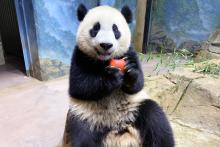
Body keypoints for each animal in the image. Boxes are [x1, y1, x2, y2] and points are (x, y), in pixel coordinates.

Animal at [62, 3, 174, 147]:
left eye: (115, 30)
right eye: (95, 28)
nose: (105, 45)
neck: (105, 60)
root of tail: (117, 127)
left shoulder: (129, 52)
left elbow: (138, 84)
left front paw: (130, 73)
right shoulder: (80, 55)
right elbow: (80, 86)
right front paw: (112, 78)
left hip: (134, 108)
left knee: (155, 120)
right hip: (86, 116)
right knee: (82, 135)